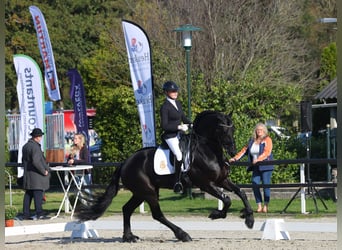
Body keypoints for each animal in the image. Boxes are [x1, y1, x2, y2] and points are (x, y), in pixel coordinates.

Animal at [77, 110, 254, 241]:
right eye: (221, 129)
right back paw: (182, 235)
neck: (207, 150)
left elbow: (241, 192)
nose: (233, 151)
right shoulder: (205, 183)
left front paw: (249, 219)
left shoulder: (221, 180)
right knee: (157, 214)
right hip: (148, 191)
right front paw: (216, 214)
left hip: (141, 192)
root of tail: (125, 162)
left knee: (127, 209)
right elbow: (227, 199)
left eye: (233, 129)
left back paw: (129, 237)